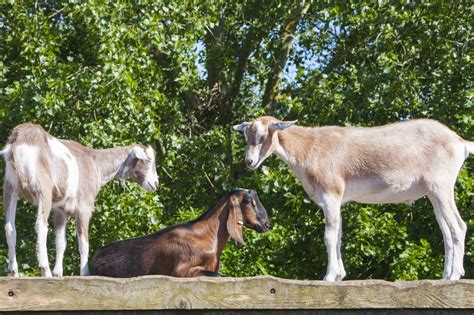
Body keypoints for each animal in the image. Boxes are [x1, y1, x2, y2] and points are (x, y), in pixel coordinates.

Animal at [0, 123, 159, 276]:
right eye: (148, 160)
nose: (155, 183)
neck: (95, 164)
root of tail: (19, 141)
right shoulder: (84, 208)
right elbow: (84, 243)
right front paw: (84, 273)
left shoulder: (61, 210)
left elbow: (60, 242)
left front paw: (58, 273)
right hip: (43, 189)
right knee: (41, 225)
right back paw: (45, 270)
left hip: (10, 186)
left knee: (10, 227)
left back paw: (13, 271)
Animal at [234, 117, 474, 282]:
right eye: (246, 136)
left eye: (263, 137)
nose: (249, 162)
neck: (310, 147)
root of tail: (460, 142)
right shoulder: (337, 201)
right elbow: (339, 236)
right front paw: (340, 275)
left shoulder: (331, 195)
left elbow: (329, 236)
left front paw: (329, 277)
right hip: (434, 194)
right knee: (446, 231)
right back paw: (445, 276)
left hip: (441, 187)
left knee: (458, 226)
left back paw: (455, 275)